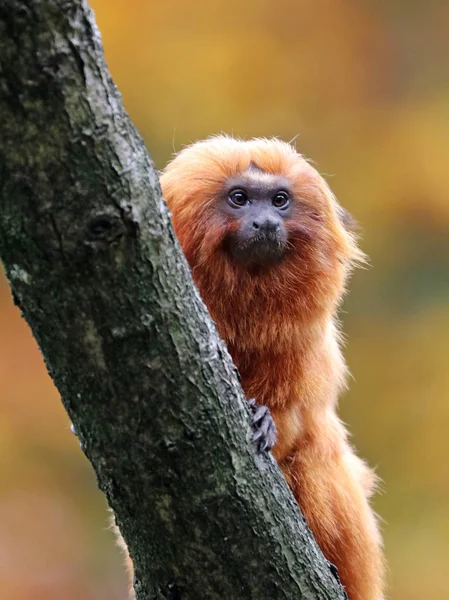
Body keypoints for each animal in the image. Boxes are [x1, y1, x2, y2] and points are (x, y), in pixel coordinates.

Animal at [118, 136, 382, 600]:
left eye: (279, 201)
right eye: (239, 199)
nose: (265, 223)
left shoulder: (302, 348)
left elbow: (296, 423)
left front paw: (265, 420)